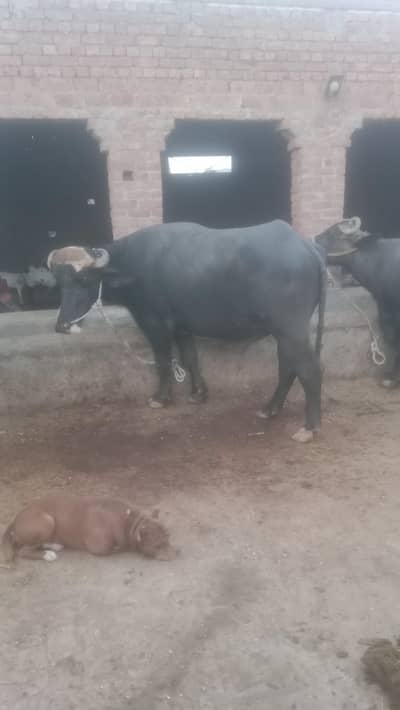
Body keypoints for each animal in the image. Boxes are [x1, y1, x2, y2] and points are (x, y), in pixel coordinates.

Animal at [47, 221, 327, 443]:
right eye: (59, 283)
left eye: (84, 281)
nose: (62, 325)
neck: (133, 267)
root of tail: (308, 249)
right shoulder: (182, 327)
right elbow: (190, 358)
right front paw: (198, 394)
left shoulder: (155, 325)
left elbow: (163, 361)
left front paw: (161, 398)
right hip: (284, 333)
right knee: (288, 368)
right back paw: (270, 409)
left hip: (291, 330)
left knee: (309, 370)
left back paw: (309, 427)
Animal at [315, 216, 400, 388]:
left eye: (332, 234)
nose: (313, 239)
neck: (378, 260)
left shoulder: (389, 309)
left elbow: (393, 338)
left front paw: (390, 379)